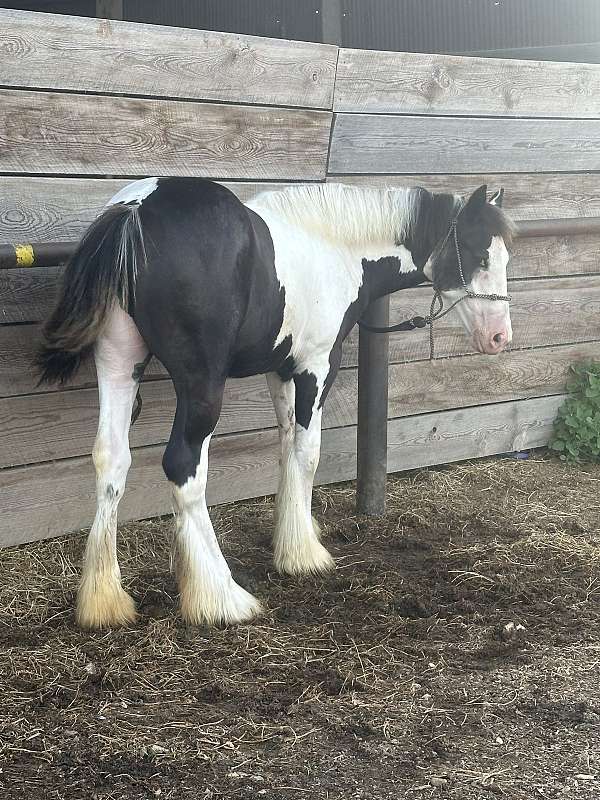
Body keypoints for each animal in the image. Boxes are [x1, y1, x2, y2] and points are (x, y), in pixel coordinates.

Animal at [37, 180, 512, 632]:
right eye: (479, 254)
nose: (499, 338)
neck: (335, 247)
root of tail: (137, 209)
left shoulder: (281, 370)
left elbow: (287, 446)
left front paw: (292, 534)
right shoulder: (317, 366)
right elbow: (308, 451)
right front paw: (304, 554)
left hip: (119, 363)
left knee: (111, 460)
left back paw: (103, 601)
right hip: (200, 383)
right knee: (184, 467)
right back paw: (222, 596)